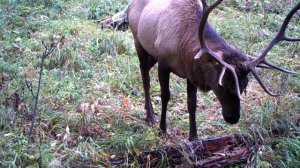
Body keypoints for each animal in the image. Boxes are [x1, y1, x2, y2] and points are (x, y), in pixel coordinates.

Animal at [102, 0, 298, 140]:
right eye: (221, 85)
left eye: (244, 87)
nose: (233, 118)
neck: (184, 49)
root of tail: (130, 5)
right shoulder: (164, 63)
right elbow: (165, 96)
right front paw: (162, 129)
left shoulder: (191, 73)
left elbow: (192, 103)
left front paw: (194, 137)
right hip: (139, 42)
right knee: (145, 78)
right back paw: (150, 115)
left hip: (152, 54)